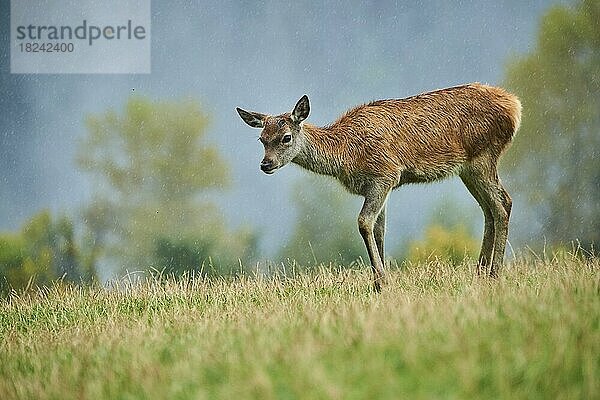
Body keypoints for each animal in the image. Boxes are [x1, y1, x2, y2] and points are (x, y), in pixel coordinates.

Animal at [237, 84, 516, 290]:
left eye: (286, 138)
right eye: (261, 139)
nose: (265, 164)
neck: (345, 154)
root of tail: (515, 106)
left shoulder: (385, 175)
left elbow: (364, 222)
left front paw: (381, 281)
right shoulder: (377, 186)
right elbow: (379, 229)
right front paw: (380, 282)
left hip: (483, 157)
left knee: (502, 205)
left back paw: (494, 274)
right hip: (468, 169)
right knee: (490, 209)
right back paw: (480, 272)